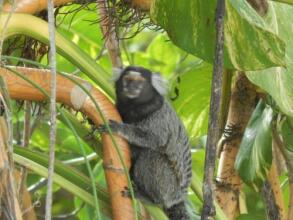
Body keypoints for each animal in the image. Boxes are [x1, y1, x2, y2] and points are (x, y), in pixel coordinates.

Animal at [98, 66, 192, 219]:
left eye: (139, 82)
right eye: (128, 79)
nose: (131, 87)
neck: (134, 108)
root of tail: (179, 198)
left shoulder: (159, 117)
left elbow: (154, 139)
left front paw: (120, 128)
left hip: (169, 189)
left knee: (151, 155)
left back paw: (150, 198)